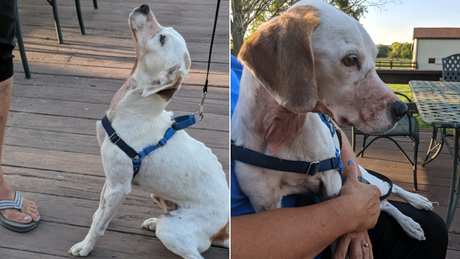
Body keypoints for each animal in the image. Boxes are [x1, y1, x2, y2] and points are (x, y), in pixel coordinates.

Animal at [68, 4, 230, 259]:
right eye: (166, 30)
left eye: (162, 38)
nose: (145, 6)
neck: (133, 110)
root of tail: (222, 231)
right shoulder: (111, 178)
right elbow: (101, 208)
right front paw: (99, 217)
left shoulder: (119, 187)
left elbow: (98, 224)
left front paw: (85, 245)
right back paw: (153, 220)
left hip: (171, 230)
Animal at [234, 0, 434, 242]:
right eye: (351, 60)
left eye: (374, 58)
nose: (403, 109)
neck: (283, 133)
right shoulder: (265, 201)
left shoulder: (332, 183)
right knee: (385, 202)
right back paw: (408, 221)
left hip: (363, 176)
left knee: (390, 188)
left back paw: (417, 202)